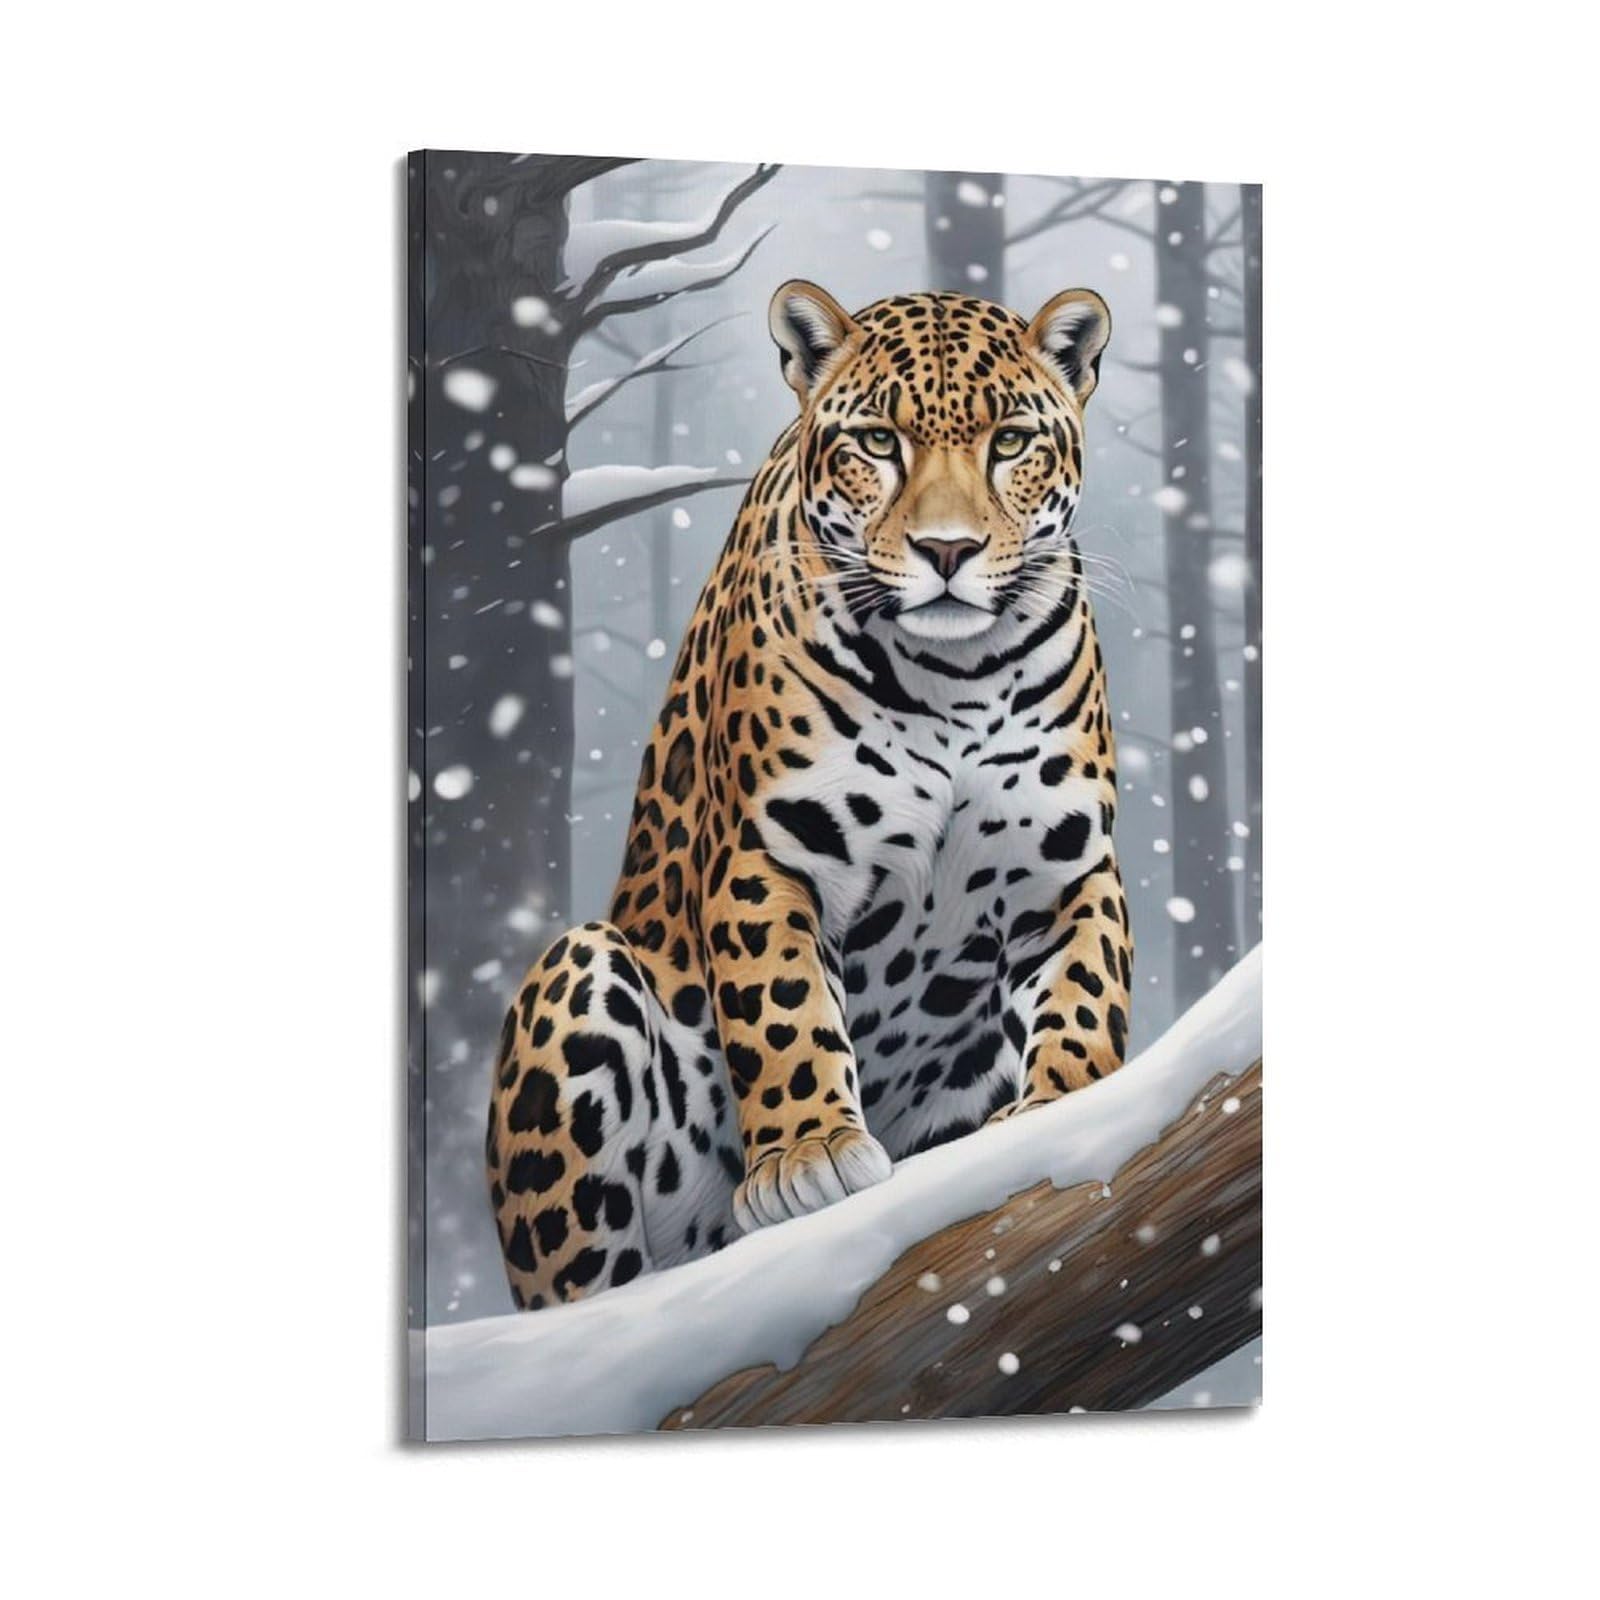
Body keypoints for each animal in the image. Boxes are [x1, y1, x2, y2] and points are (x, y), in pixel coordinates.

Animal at [485, 280, 1133, 1310]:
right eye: (876, 442)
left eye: (1010, 442)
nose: (946, 550)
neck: (955, 677)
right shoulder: (769, 856)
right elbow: (784, 1007)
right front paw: (811, 1154)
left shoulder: (1065, 866)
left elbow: (1087, 993)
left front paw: (1065, 1103)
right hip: (578, 977)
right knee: (586, 1282)